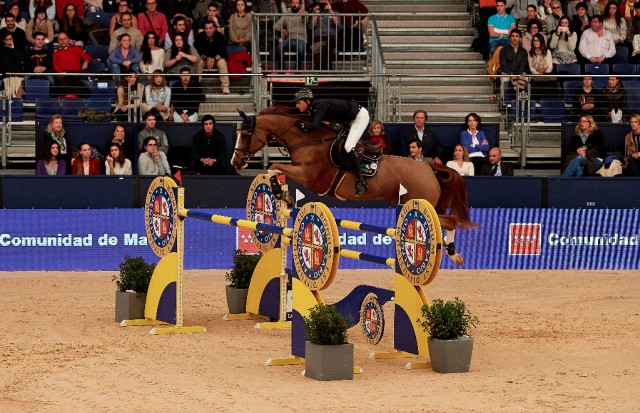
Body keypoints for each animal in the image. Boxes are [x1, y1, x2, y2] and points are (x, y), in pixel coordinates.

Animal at [231, 105, 476, 264]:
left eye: (245, 134)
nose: (235, 162)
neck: (307, 139)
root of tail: (428, 168)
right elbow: (274, 168)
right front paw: (284, 195)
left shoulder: (309, 176)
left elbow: (274, 166)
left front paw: (282, 194)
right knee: (449, 221)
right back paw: (453, 252)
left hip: (422, 203)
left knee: (451, 220)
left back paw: (453, 253)